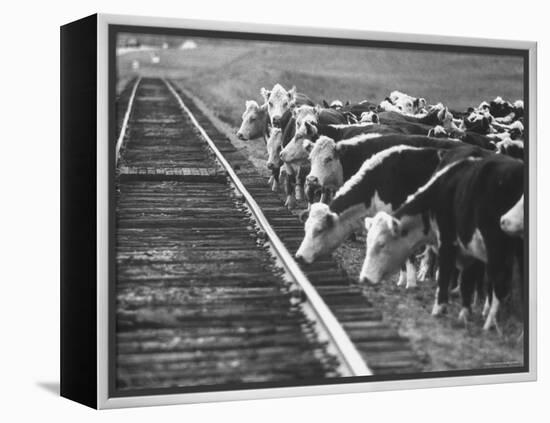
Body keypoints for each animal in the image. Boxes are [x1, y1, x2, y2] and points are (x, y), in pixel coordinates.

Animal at [362, 154, 528, 332]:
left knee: (500, 282)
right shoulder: (470, 250)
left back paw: (489, 323)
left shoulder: (448, 241)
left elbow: (445, 274)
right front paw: (464, 314)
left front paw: (438, 308)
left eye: (381, 244)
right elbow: (467, 282)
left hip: (496, 247)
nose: (364, 278)